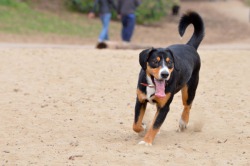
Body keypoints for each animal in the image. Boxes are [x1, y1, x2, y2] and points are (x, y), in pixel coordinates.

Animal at [133, 11, 205, 145]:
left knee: (188, 105)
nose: (165, 74)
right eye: (155, 62)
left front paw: (146, 142)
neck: (152, 86)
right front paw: (144, 127)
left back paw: (183, 122)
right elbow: (136, 124)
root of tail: (189, 46)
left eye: (169, 62)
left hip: (189, 89)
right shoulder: (140, 101)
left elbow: (155, 125)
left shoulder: (164, 107)